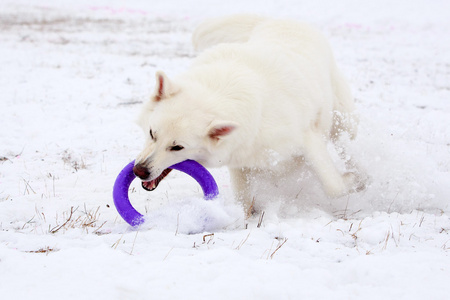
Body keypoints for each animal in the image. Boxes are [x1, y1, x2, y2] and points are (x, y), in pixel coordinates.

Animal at [133, 15, 362, 213]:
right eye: (152, 134)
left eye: (177, 147)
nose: (139, 171)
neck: (223, 90)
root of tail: (276, 20)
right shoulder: (239, 160)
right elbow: (242, 200)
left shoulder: (307, 139)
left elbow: (333, 186)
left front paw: (351, 181)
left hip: (343, 123)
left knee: (350, 147)